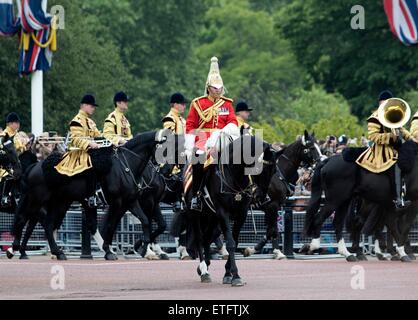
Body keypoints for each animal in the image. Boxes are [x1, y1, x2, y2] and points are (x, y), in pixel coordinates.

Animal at [9, 130, 173, 260]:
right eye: (167, 148)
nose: (168, 170)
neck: (126, 167)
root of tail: (35, 166)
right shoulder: (120, 202)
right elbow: (111, 225)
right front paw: (111, 250)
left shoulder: (131, 201)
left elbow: (145, 221)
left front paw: (143, 248)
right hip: (38, 200)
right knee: (25, 219)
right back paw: (18, 250)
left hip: (60, 202)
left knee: (47, 224)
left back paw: (55, 252)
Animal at [185, 134, 276, 286]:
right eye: (258, 168)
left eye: (274, 171)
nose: (261, 197)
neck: (233, 174)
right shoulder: (223, 212)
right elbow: (231, 244)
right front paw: (236, 276)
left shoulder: (241, 214)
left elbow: (234, 241)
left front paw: (228, 274)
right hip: (195, 214)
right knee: (199, 238)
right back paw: (204, 271)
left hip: (213, 217)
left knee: (207, 238)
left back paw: (205, 266)